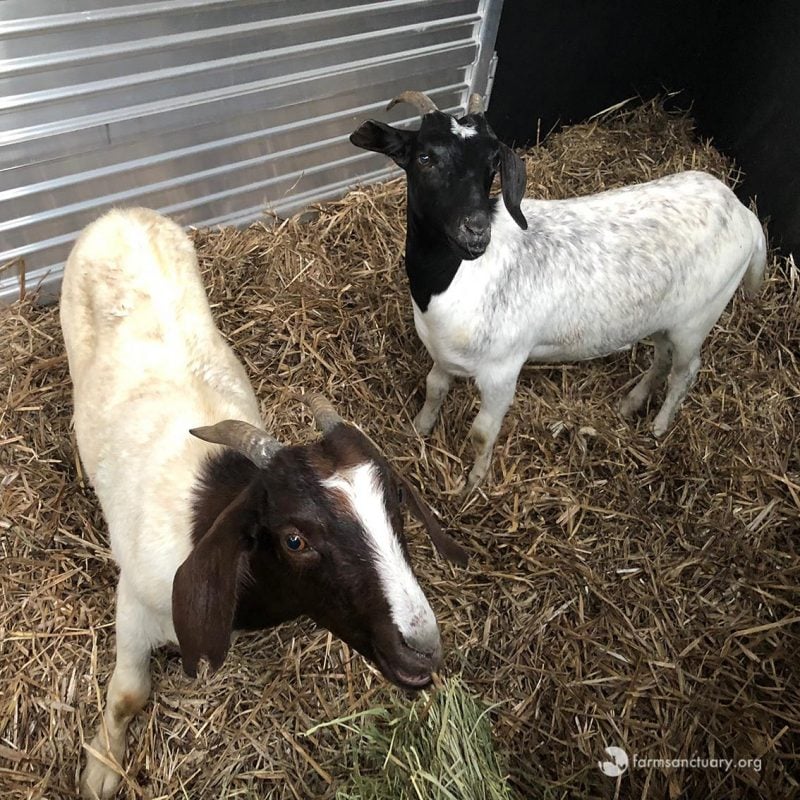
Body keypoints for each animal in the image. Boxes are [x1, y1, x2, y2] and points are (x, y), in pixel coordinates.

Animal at [59, 208, 466, 800]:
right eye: (294, 539)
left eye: (395, 504)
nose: (422, 648)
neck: (206, 509)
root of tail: (122, 214)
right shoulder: (133, 601)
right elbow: (129, 694)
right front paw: (102, 770)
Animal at [352, 90, 768, 484]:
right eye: (425, 158)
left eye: (491, 166)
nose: (476, 229)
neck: (453, 279)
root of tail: (743, 211)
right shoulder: (442, 352)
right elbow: (434, 386)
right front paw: (417, 430)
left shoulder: (502, 370)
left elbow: (482, 433)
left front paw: (474, 483)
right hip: (665, 319)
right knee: (662, 358)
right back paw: (630, 404)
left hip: (697, 320)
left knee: (686, 371)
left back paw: (659, 426)